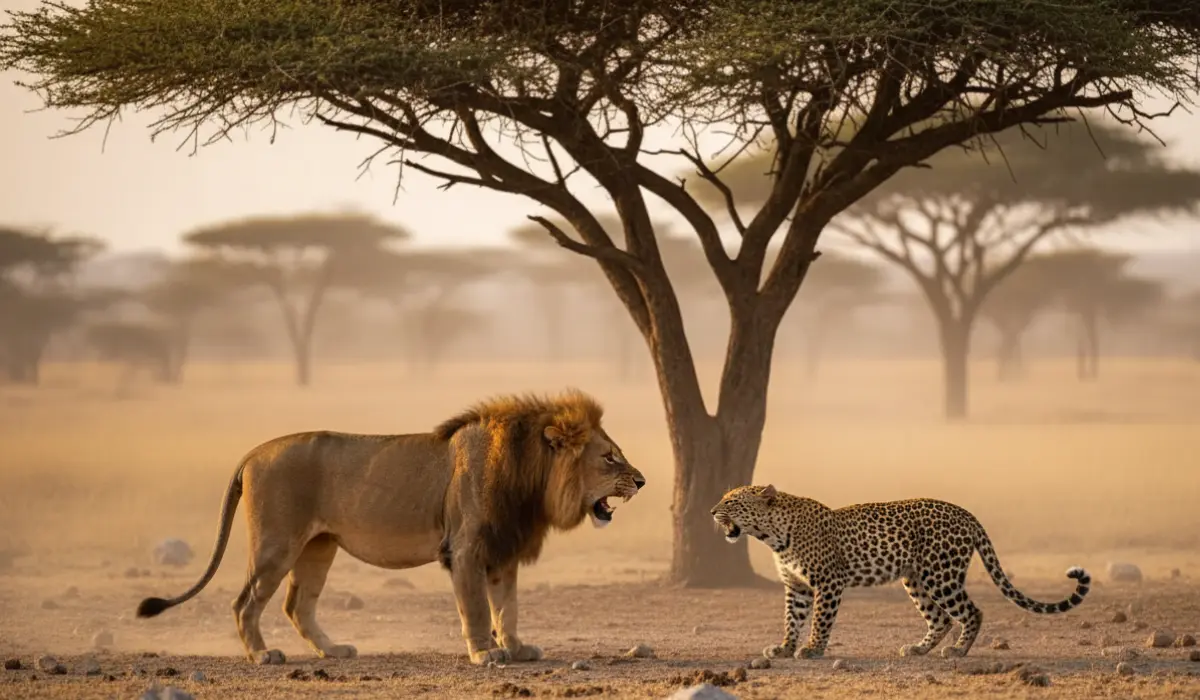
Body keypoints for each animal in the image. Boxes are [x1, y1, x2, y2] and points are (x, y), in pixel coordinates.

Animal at [134, 389, 645, 666]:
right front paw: (485, 654)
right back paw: (262, 655)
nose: (641, 481)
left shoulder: (503, 549)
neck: (531, 478)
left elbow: (509, 608)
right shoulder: (465, 548)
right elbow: (479, 610)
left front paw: (517, 649)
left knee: (298, 605)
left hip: (319, 547)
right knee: (245, 603)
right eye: (609, 457)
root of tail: (253, 453)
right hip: (276, 545)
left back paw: (334, 650)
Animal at [710, 484, 1091, 660]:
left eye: (732, 502)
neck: (772, 536)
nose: (712, 510)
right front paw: (785, 648)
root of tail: (966, 513)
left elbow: (820, 620)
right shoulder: (797, 586)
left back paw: (958, 651)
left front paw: (813, 649)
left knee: (971, 612)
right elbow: (792, 619)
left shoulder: (828, 582)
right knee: (941, 619)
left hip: (941, 575)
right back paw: (918, 649)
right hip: (915, 578)